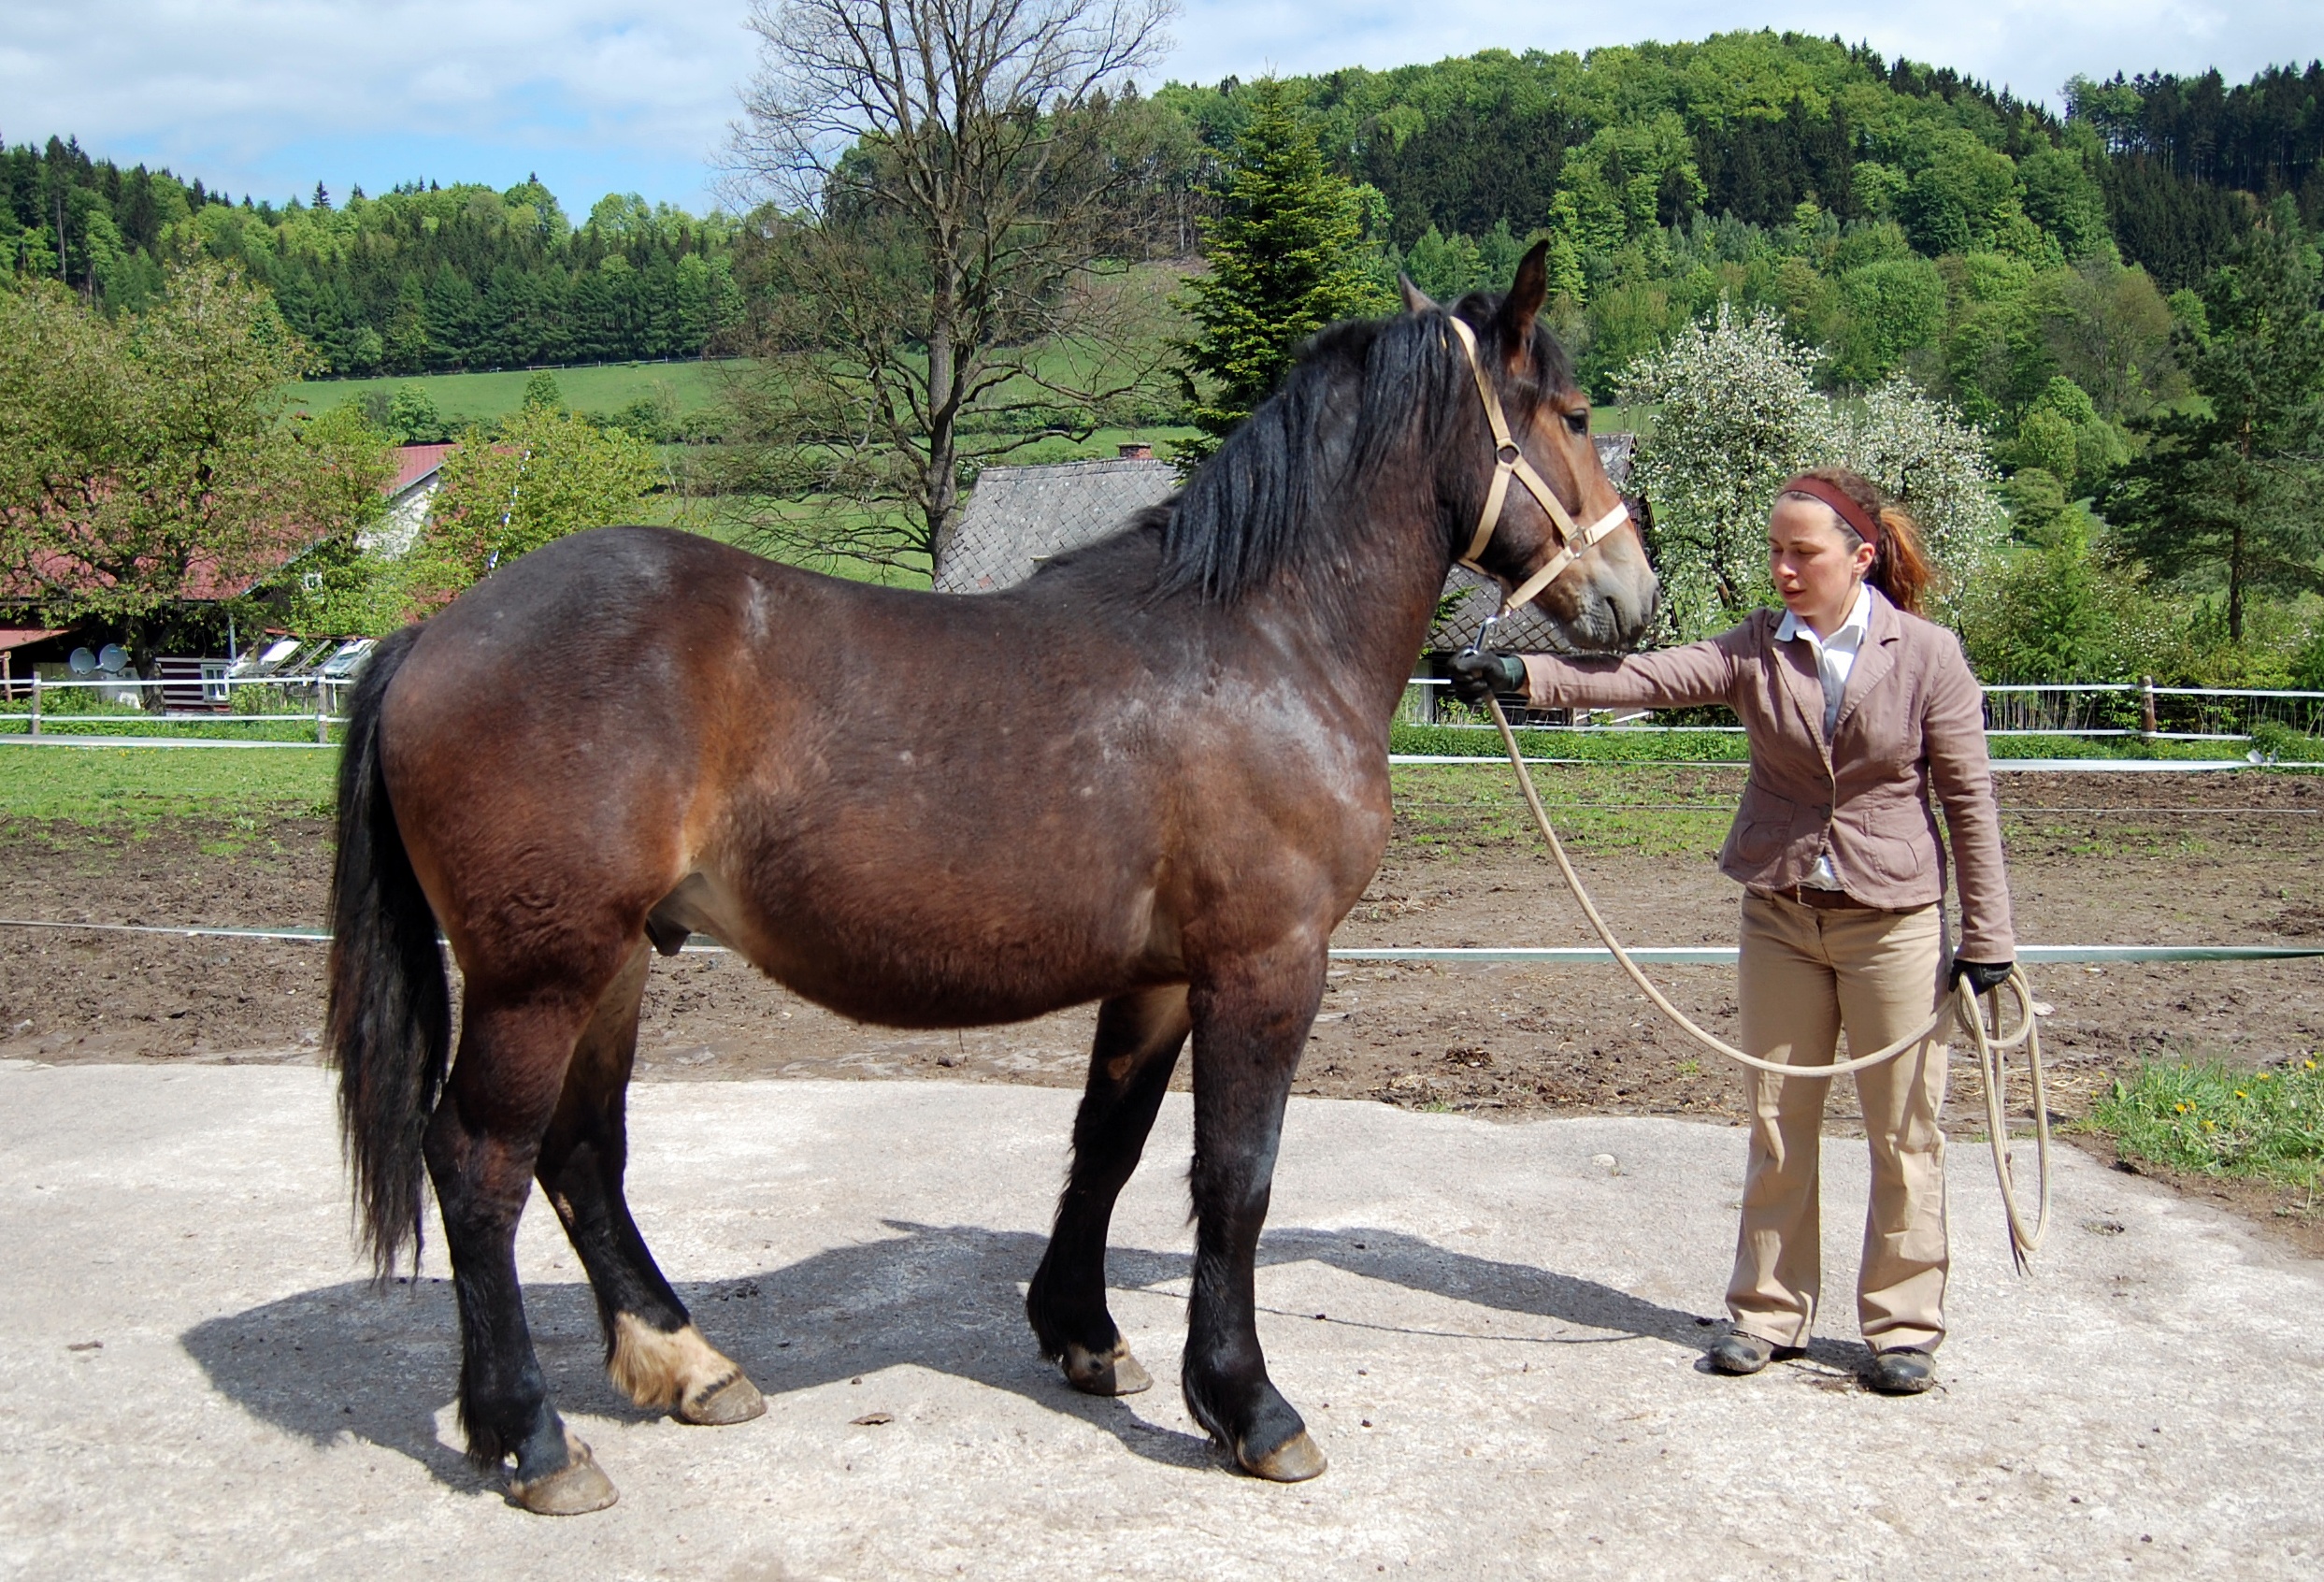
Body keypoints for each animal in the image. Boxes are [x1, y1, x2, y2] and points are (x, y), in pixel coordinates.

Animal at [337, 240, 1663, 1514]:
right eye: (1576, 413)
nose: (1632, 596)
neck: (1261, 640)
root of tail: (433, 633)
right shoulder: (1265, 965)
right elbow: (1235, 1177)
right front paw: (1249, 1408)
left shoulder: (1158, 979)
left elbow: (1107, 1145)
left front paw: (1083, 1335)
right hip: (538, 976)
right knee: (480, 1166)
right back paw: (529, 1438)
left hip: (610, 964)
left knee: (579, 1157)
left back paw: (688, 1367)